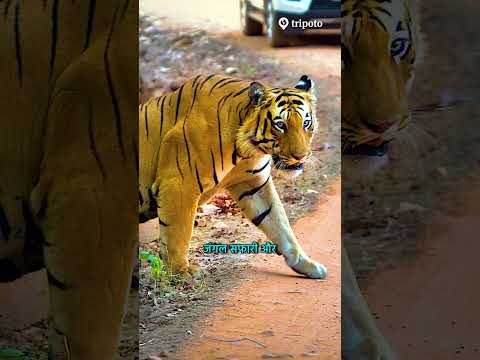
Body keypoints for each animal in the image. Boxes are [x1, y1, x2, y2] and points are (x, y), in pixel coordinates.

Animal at [137, 74, 328, 282]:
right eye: (280, 125)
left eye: (306, 123)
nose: (300, 156)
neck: (248, 151)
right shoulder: (179, 183)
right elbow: (178, 232)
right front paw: (181, 272)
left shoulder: (255, 185)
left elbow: (280, 224)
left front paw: (306, 264)